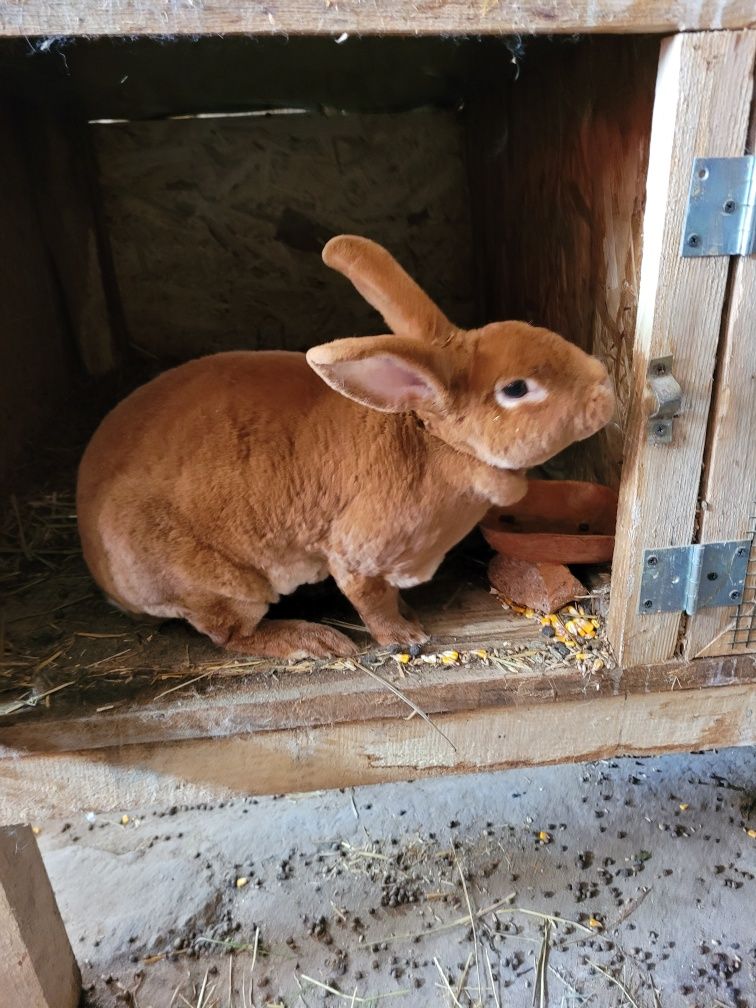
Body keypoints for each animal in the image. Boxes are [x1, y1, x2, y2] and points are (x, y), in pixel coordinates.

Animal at [78, 236, 616, 661]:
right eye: (517, 389)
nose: (604, 388)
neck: (435, 444)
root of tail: (100, 567)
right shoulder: (358, 557)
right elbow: (370, 601)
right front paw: (406, 636)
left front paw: (409, 616)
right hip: (224, 586)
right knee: (229, 634)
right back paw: (313, 641)